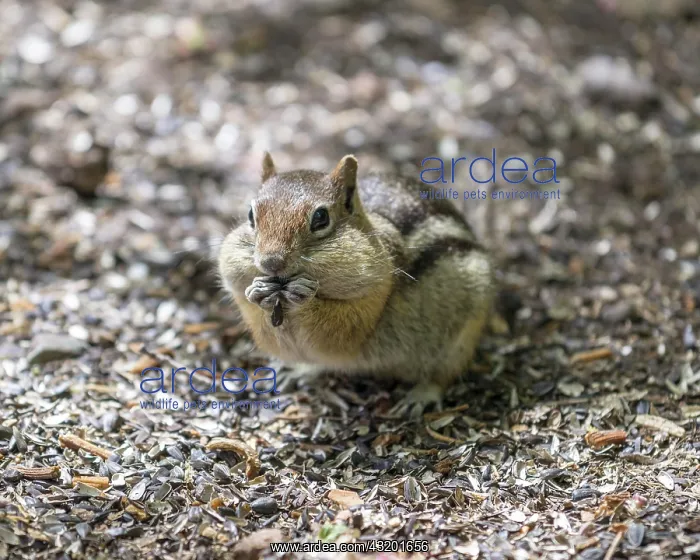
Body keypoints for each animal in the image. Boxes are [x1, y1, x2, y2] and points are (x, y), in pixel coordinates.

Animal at [218, 153, 496, 414]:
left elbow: (340, 332)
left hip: (461, 339)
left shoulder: (370, 302)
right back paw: (300, 371)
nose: (271, 262)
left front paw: (304, 299)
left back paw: (422, 395)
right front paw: (257, 293)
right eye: (251, 215)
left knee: (443, 373)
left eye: (321, 218)